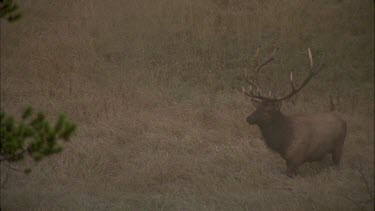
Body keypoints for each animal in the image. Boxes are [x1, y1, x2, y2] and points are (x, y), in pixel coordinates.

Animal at [244, 47, 346, 176]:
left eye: (267, 111)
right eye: (257, 107)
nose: (248, 118)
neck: (283, 142)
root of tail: (344, 120)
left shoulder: (296, 159)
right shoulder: (288, 161)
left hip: (339, 147)